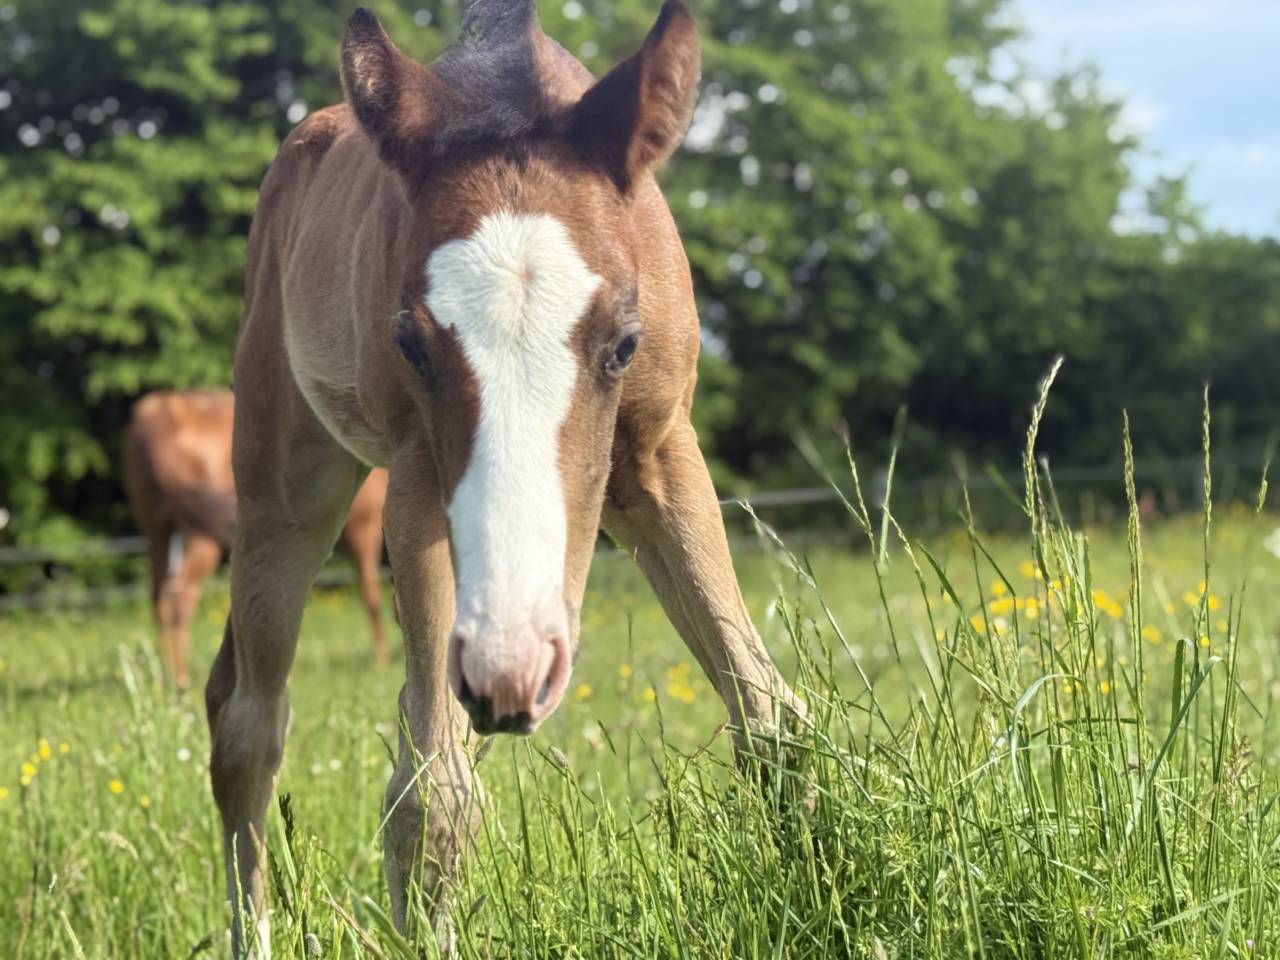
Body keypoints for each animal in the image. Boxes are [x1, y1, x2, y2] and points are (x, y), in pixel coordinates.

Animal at [124, 389, 391, 687]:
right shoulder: (363, 529)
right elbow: (371, 595)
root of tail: (162, 413)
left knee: (158, 597)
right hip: (199, 539)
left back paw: (163, 675)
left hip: (157, 532)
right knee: (180, 596)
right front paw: (382, 661)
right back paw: (182, 678)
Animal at [204, 2, 804, 951]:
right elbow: (434, 795)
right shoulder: (417, 481)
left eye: (624, 342)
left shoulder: (660, 451)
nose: (515, 667)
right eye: (411, 342)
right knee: (248, 724)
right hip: (283, 477)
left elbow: (769, 713)